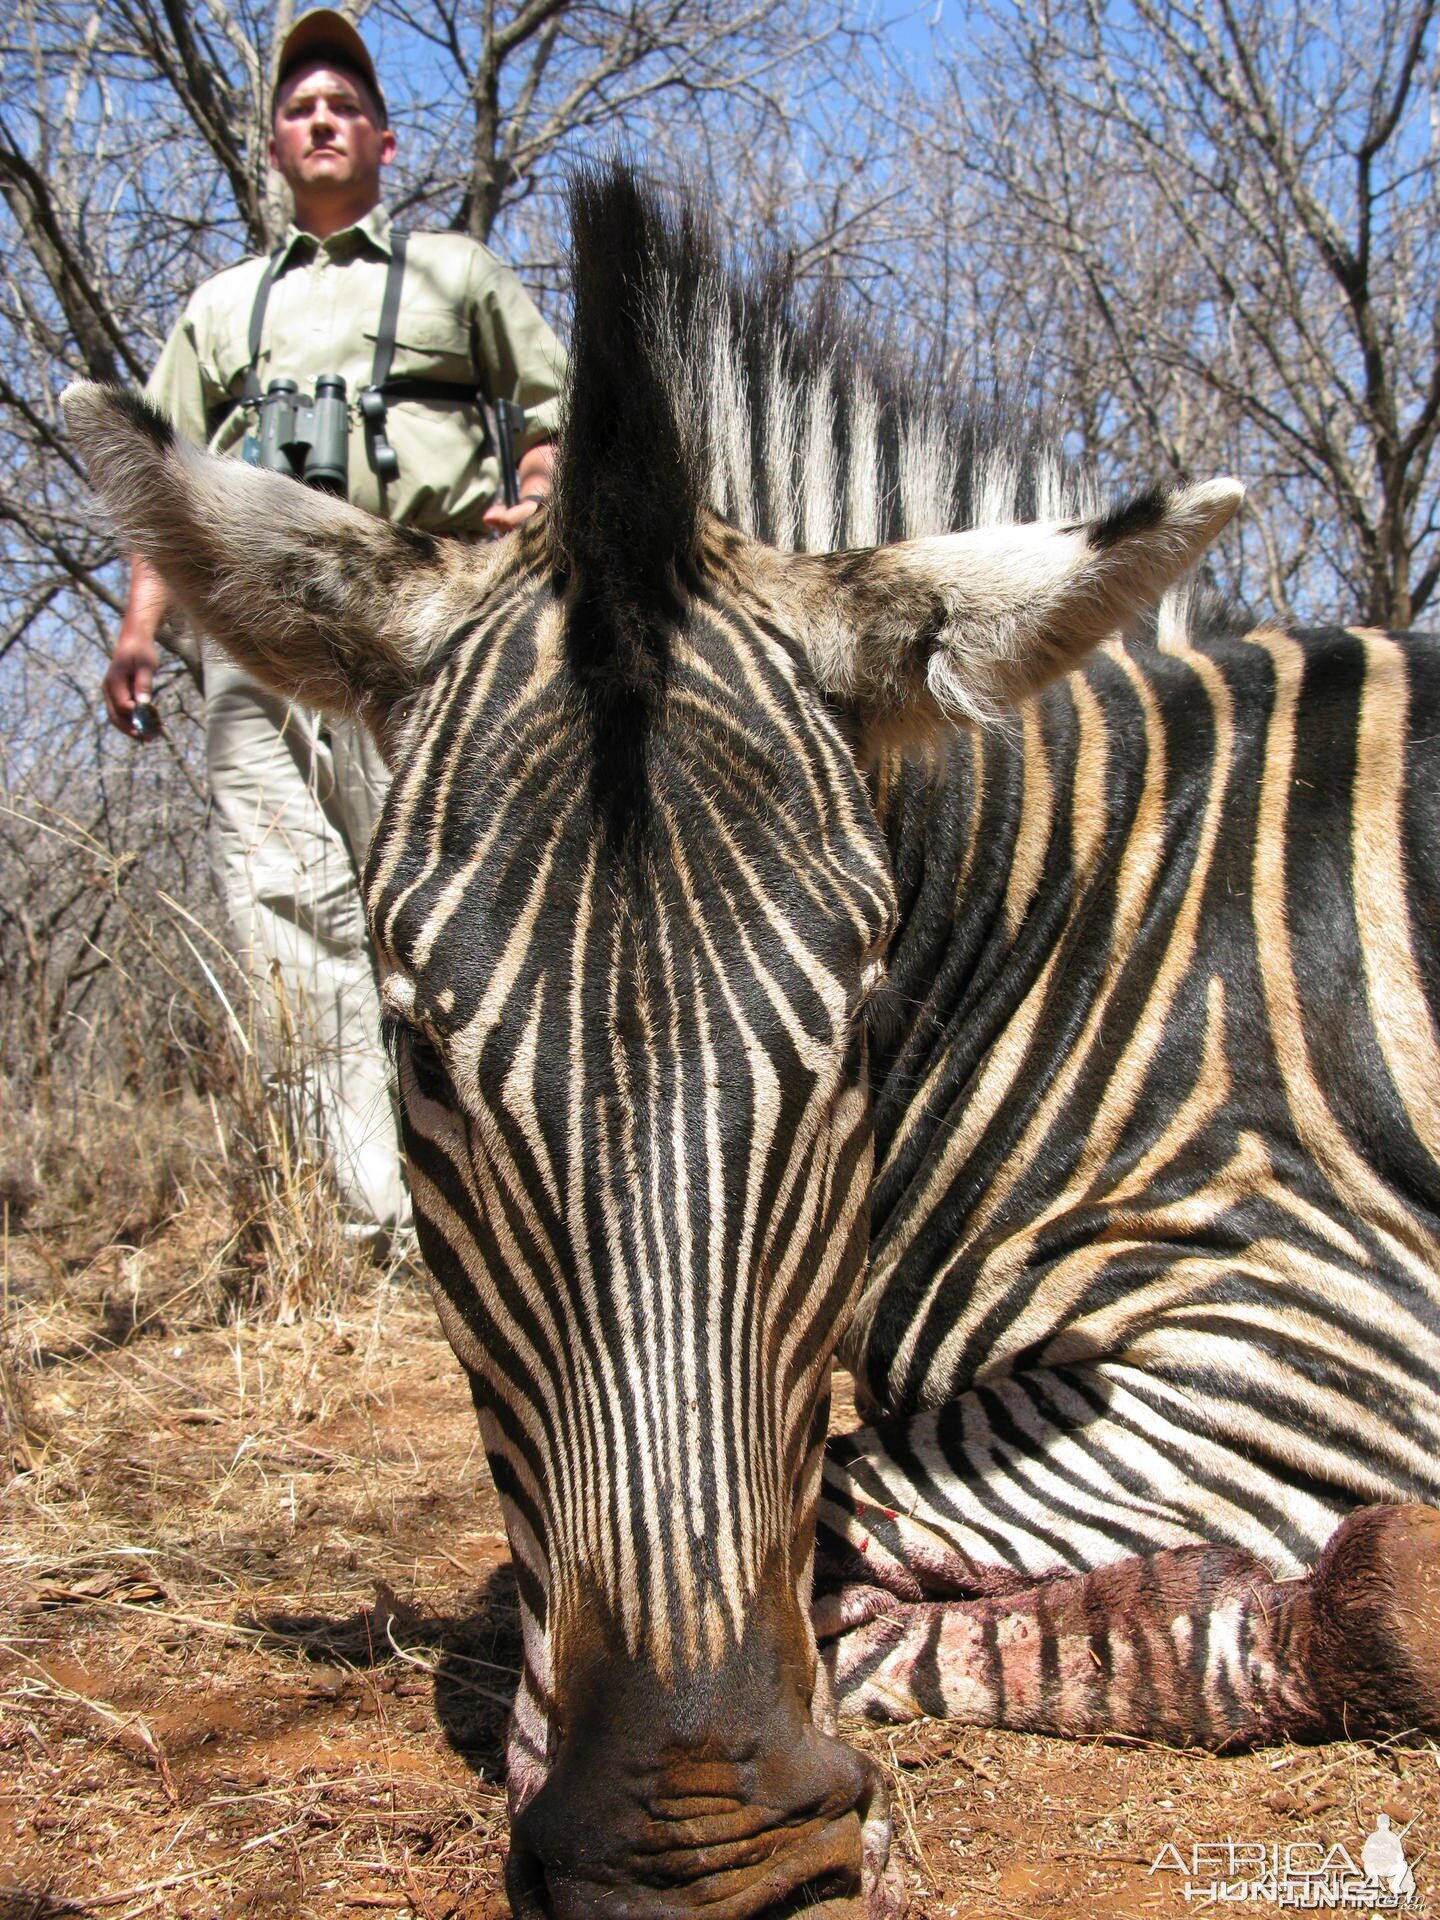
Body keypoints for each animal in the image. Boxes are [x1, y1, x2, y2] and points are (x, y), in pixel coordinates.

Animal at [64, 168, 1440, 1920]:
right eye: (418, 1051)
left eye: (861, 1024)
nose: (703, 1858)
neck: (1081, 918)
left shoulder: (1320, 1327)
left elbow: (838, 1516)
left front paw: (1349, 1595)